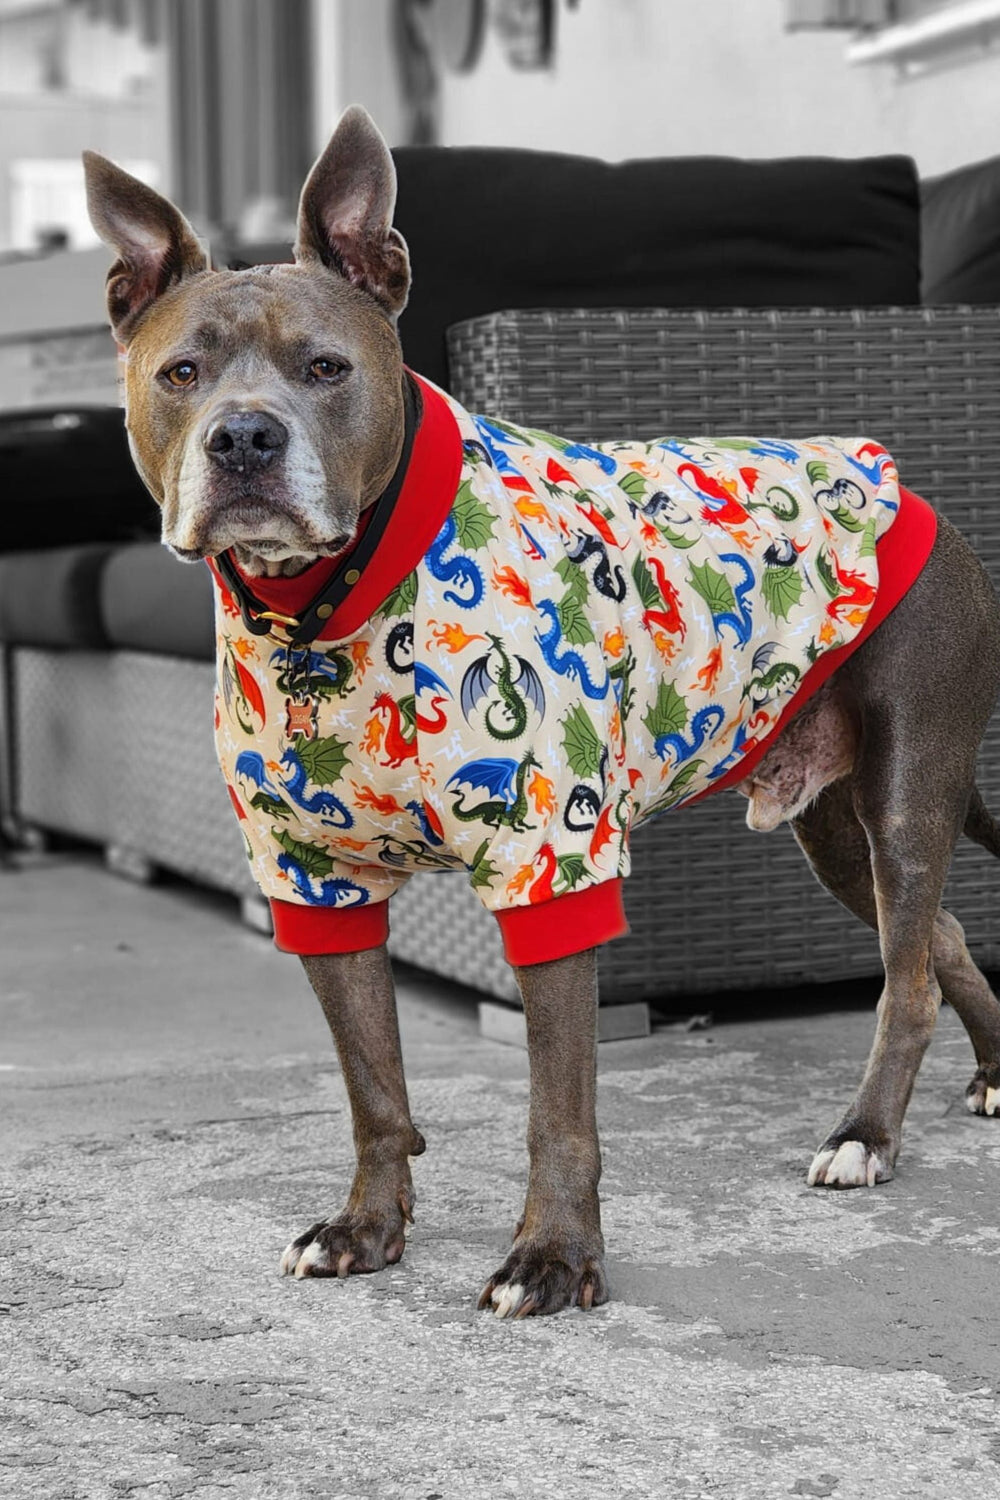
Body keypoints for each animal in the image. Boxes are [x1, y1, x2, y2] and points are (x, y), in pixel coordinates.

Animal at [80, 108, 1000, 1326]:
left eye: (325, 368)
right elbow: (373, 1087)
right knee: (937, 938)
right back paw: (990, 1077)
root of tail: (905, 483)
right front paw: (367, 1228)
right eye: (181, 372)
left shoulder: (547, 868)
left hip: (905, 794)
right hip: (835, 829)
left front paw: (553, 1258)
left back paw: (865, 1137)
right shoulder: (314, 886)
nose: (242, 439)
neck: (328, 605)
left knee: (906, 980)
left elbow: (555, 1108)